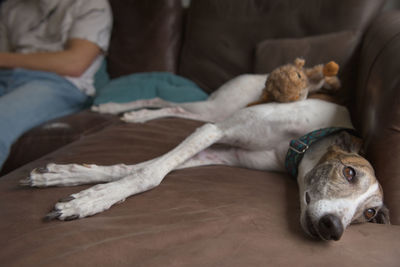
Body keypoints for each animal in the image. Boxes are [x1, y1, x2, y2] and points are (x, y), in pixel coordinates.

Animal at [20, 74, 390, 243]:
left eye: (370, 213)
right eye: (349, 173)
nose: (333, 228)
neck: (300, 144)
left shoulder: (221, 150)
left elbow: (134, 167)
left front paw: (66, 177)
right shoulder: (216, 130)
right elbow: (150, 174)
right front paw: (89, 201)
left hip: (211, 114)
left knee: (176, 110)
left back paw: (138, 117)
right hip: (219, 109)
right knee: (167, 100)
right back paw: (116, 108)